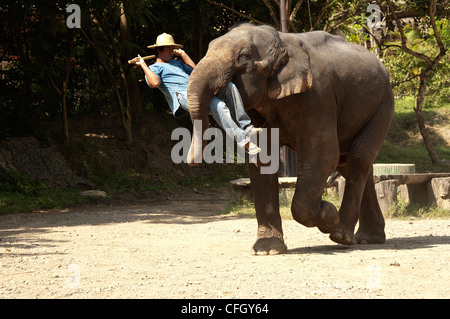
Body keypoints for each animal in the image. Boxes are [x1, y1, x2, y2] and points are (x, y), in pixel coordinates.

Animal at [185, 23, 392, 256]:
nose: (191, 162)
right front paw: (266, 251)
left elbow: (323, 157)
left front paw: (329, 215)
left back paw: (341, 235)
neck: (281, 41)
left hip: (383, 106)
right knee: (352, 163)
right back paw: (368, 239)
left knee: (358, 158)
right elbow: (262, 161)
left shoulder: (318, 96)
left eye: (244, 57)